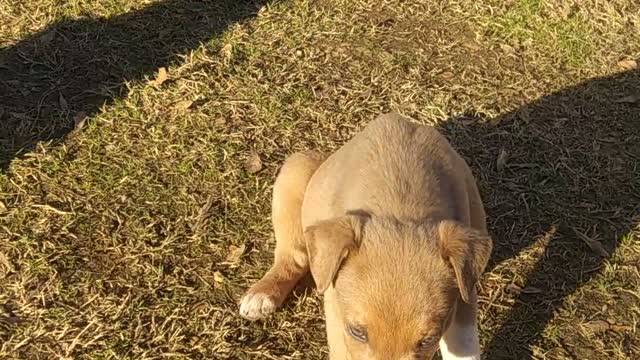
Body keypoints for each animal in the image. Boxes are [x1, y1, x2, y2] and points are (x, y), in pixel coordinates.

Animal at [240, 112, 490, 360]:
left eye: (428, 340)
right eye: (357, 332)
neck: (398, 205)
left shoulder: (464, 292)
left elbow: (463, 346)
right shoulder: (337, 318)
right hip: (296, 169)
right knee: (295, 256)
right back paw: (261, 295)